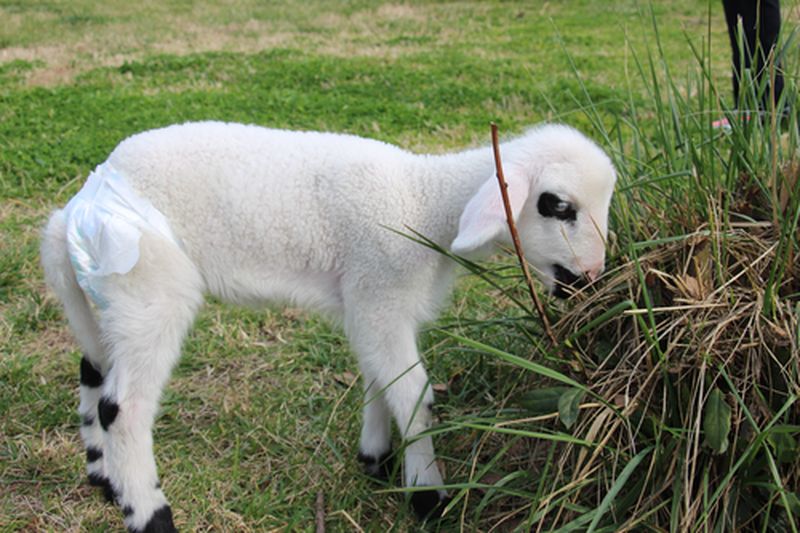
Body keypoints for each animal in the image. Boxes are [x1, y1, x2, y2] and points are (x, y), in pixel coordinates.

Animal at [39, 121, 620, 532]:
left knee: (93, 370)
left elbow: (378, 377)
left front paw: (376, 458)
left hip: (110, 297)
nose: (592, 282)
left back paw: (105, 479)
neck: (423, 204)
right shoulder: (380, 290)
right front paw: (427, 496)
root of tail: (78, 207)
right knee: (123, 408)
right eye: (557, 206)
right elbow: (414, 394)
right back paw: (150, 515)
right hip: (150, 286)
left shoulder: (368, 304)